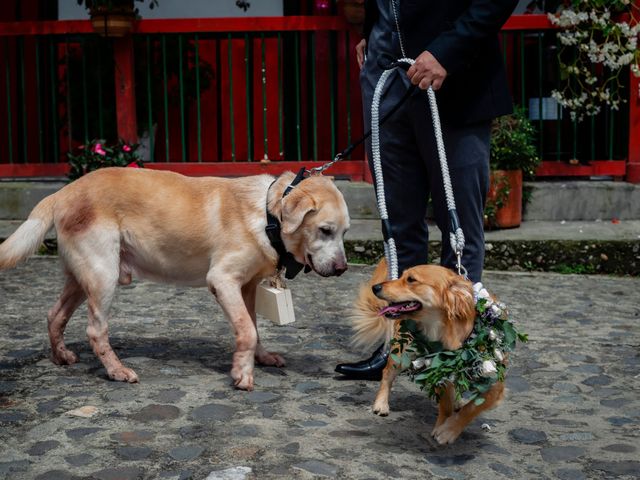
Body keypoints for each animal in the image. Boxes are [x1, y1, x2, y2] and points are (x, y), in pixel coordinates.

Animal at [0, 168, 350, 390]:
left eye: (344, 233)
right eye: (325, 230)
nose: (343, 269)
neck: (267, 215)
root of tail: (64, 191)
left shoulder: (247, 287)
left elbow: (252, 327)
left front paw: (259, 359)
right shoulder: (222, 280)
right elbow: (248, 331)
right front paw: (242, 375)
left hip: (81, 278)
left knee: (54, 315)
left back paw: (60, 356)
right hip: (103, 276)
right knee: (95, 331)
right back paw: (117, 371)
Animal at [350, 260, 504, 444]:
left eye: (411, 279)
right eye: (402, 276)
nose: (376, 287)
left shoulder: (495, 386)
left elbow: (471, 408)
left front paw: (448, 430)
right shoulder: (438, 371)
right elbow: (445, 406)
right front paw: (443, 427)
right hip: (402, 354)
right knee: (387, 373)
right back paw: (381, 404)